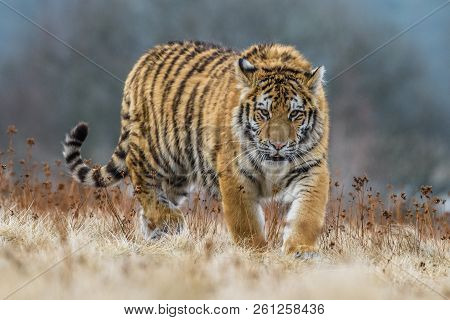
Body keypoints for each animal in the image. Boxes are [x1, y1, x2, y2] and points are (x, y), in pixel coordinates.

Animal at [62, 40, 330, 258]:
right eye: (264, 113)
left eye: (295, 114)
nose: (278, 144)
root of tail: (144, 59)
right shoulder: (235, 174)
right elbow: (245, 220)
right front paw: (254, 252)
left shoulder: (312, 169)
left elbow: (307, 212)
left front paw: (301, 250)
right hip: (156, 150)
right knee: (141, 180)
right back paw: (170, 221)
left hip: (178, 175)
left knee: (153, 203)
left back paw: (157, 233)